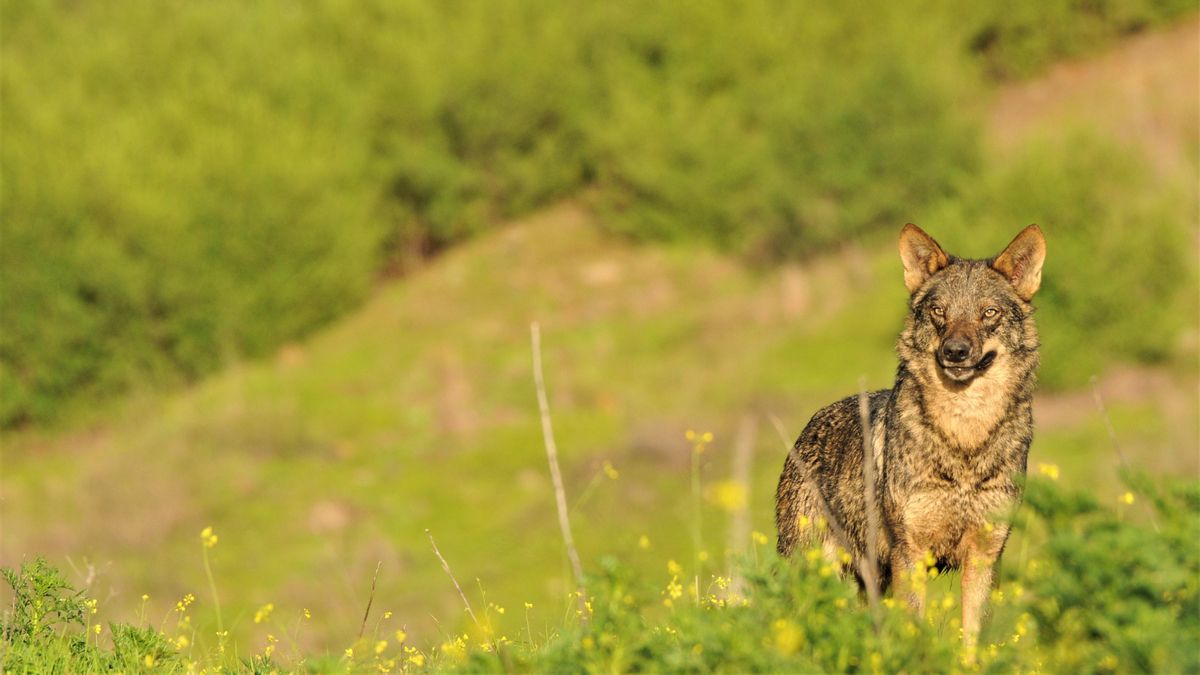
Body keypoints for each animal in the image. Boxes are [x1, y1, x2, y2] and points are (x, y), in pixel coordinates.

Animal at [774, 223, 1046, 654]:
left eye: (989, 313)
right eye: (939, 312)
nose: (955, 352)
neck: (964, 441)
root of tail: (808, 427)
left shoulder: (984, 556)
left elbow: (972, 641)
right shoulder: (911, 554)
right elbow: (914, 629)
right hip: (814, 568)